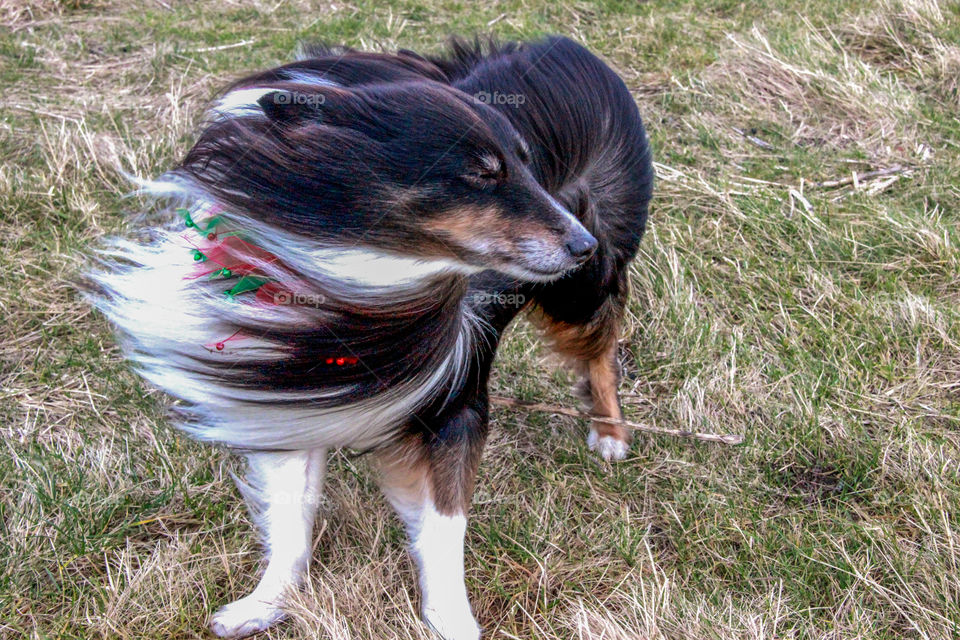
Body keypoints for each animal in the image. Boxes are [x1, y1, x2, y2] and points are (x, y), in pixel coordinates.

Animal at [88, 36, 652, 640]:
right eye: (481, 175)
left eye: (528, 168)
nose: (582, 244)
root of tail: (566, 47)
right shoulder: (291, 388)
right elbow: (292, 514)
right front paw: (266, 603)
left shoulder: (457, 401)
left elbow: (445, 523)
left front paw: (451, 619)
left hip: (583, 290)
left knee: (603, 347)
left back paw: (610, 431)